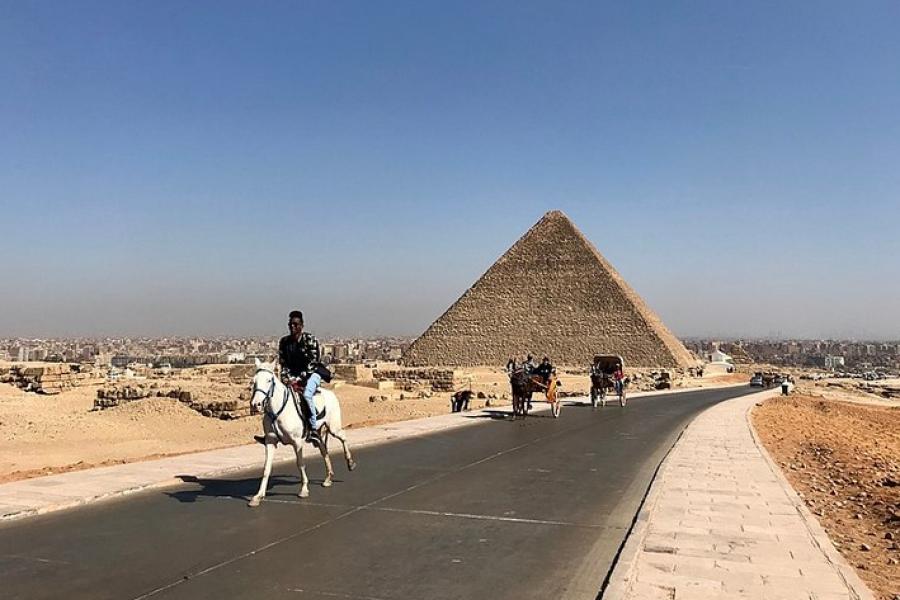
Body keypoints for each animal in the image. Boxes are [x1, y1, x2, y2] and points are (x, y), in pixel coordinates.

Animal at [250, 358, 358, 508]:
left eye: (269, 380)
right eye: (254, 381)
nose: (256, 404)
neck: (278, 410)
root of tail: (330, 393)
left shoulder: (297, 442)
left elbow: (300, 464)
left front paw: (304, 489)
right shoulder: (270, 442)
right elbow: (266, 468)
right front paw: (258, 496)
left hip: (333, 427)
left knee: (343, 437)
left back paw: (350, 462)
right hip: (317, 434)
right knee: (324, 450)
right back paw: (328, 478)